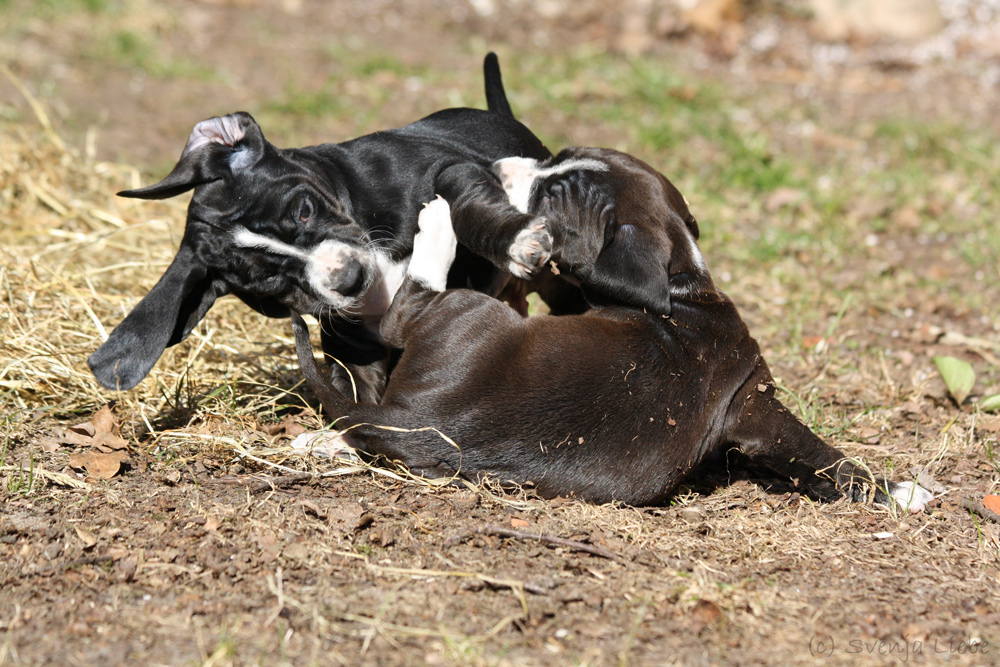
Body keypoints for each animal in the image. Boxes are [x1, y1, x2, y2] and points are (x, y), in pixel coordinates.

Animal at [89, 54, 568, 402]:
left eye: (303, 210)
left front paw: (516, 241)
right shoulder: (354, 346)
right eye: (270, 283)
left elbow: (468, 206)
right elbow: (362, 397)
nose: (350, 278)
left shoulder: (450, 168)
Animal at [288, 147, 928, 512]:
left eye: (549, 193)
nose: (494, 168)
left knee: (406, 311)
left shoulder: (753, 403)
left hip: (467, 312)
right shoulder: (753, 402)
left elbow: (810, 449)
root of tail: (418, 423)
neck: (684, 281)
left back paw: (440, 222)